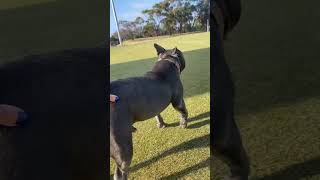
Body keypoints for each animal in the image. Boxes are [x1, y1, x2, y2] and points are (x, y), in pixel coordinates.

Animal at [110, 43, 188, 180]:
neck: (168, 61)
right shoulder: (178, 101)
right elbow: (183, 112)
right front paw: (184, 124)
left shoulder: (154, 105)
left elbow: (158, 114)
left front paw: (161, 124)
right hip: (123, 149)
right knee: (120, 172)